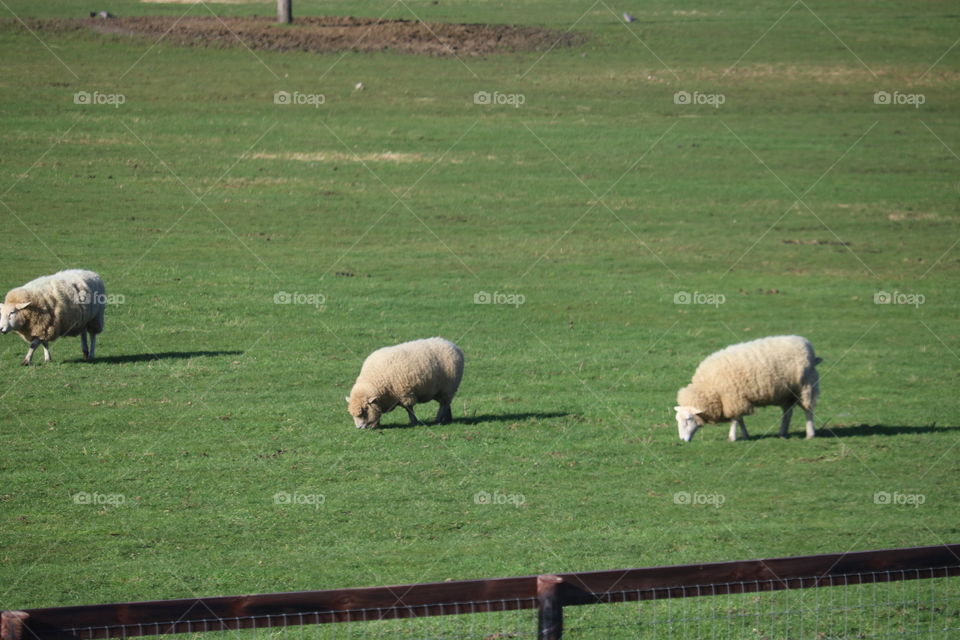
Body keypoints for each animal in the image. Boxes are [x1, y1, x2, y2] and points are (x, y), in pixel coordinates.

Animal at [674, 335, 821, 442]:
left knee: (808, 409)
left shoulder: (732, 398)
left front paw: (732, 437)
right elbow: (740, 419)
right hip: (786, 393)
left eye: (689, 419)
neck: (709, 387)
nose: (682, 440)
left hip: (806, 386)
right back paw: (782, 433)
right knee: (787, 412)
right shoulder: (736, 399)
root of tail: (806, 345)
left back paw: (810, 434)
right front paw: (745, 435)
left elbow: (735, 419)